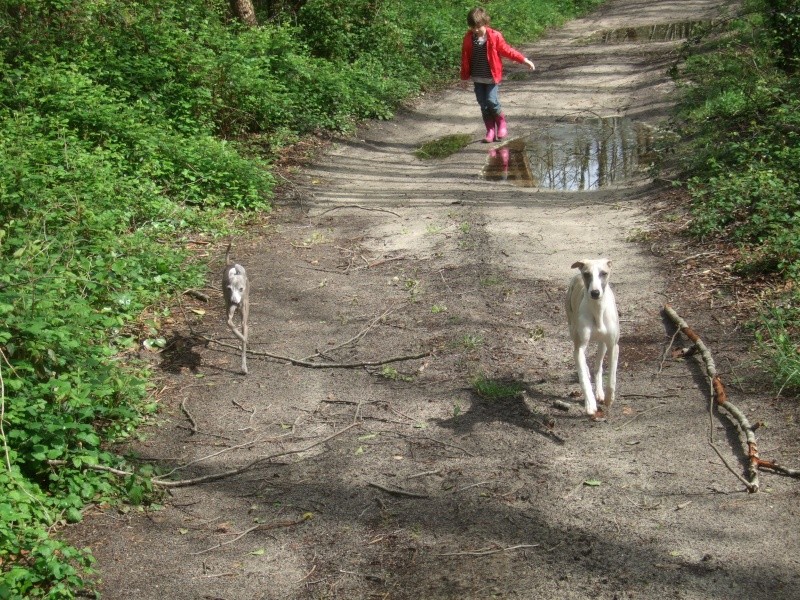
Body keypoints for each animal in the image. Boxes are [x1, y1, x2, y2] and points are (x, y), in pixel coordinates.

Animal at [564, 258, 620, 418]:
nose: (595, 293)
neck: (597, 310)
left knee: (598, 366)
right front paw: (590, 404)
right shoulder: (579, 348)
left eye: (604, 273)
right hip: (572, 328)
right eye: (587, 274)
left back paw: (600, 392)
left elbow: (612, 377)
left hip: (603, 344)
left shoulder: (614, 346)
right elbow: (583, 377)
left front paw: (609, 398)